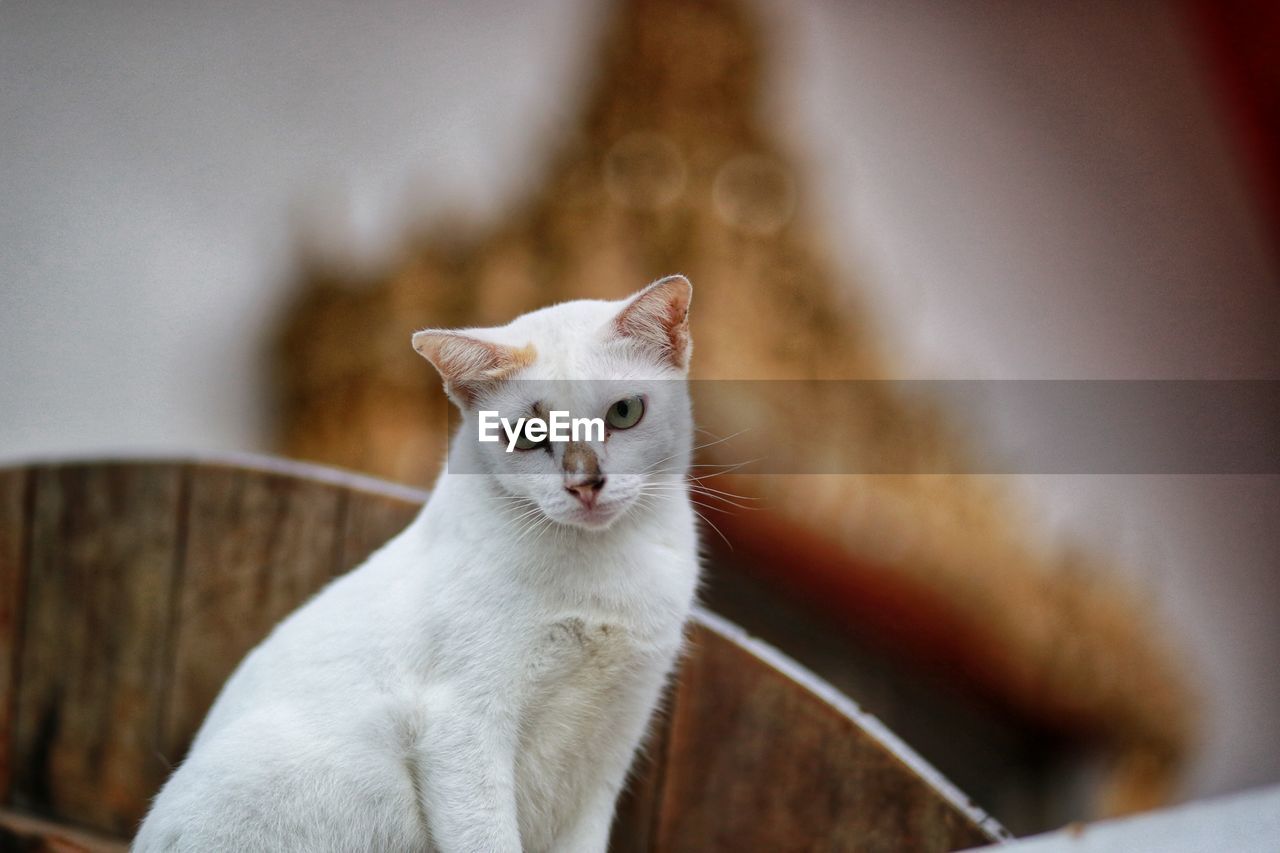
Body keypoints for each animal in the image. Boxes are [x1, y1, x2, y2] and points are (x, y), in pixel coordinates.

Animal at [132, 275, 701, 845]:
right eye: (529, 435)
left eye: (624, 412)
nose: (585, 484)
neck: (605, 561)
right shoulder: (462, 725)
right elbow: (489, 839)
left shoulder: (609, 745)